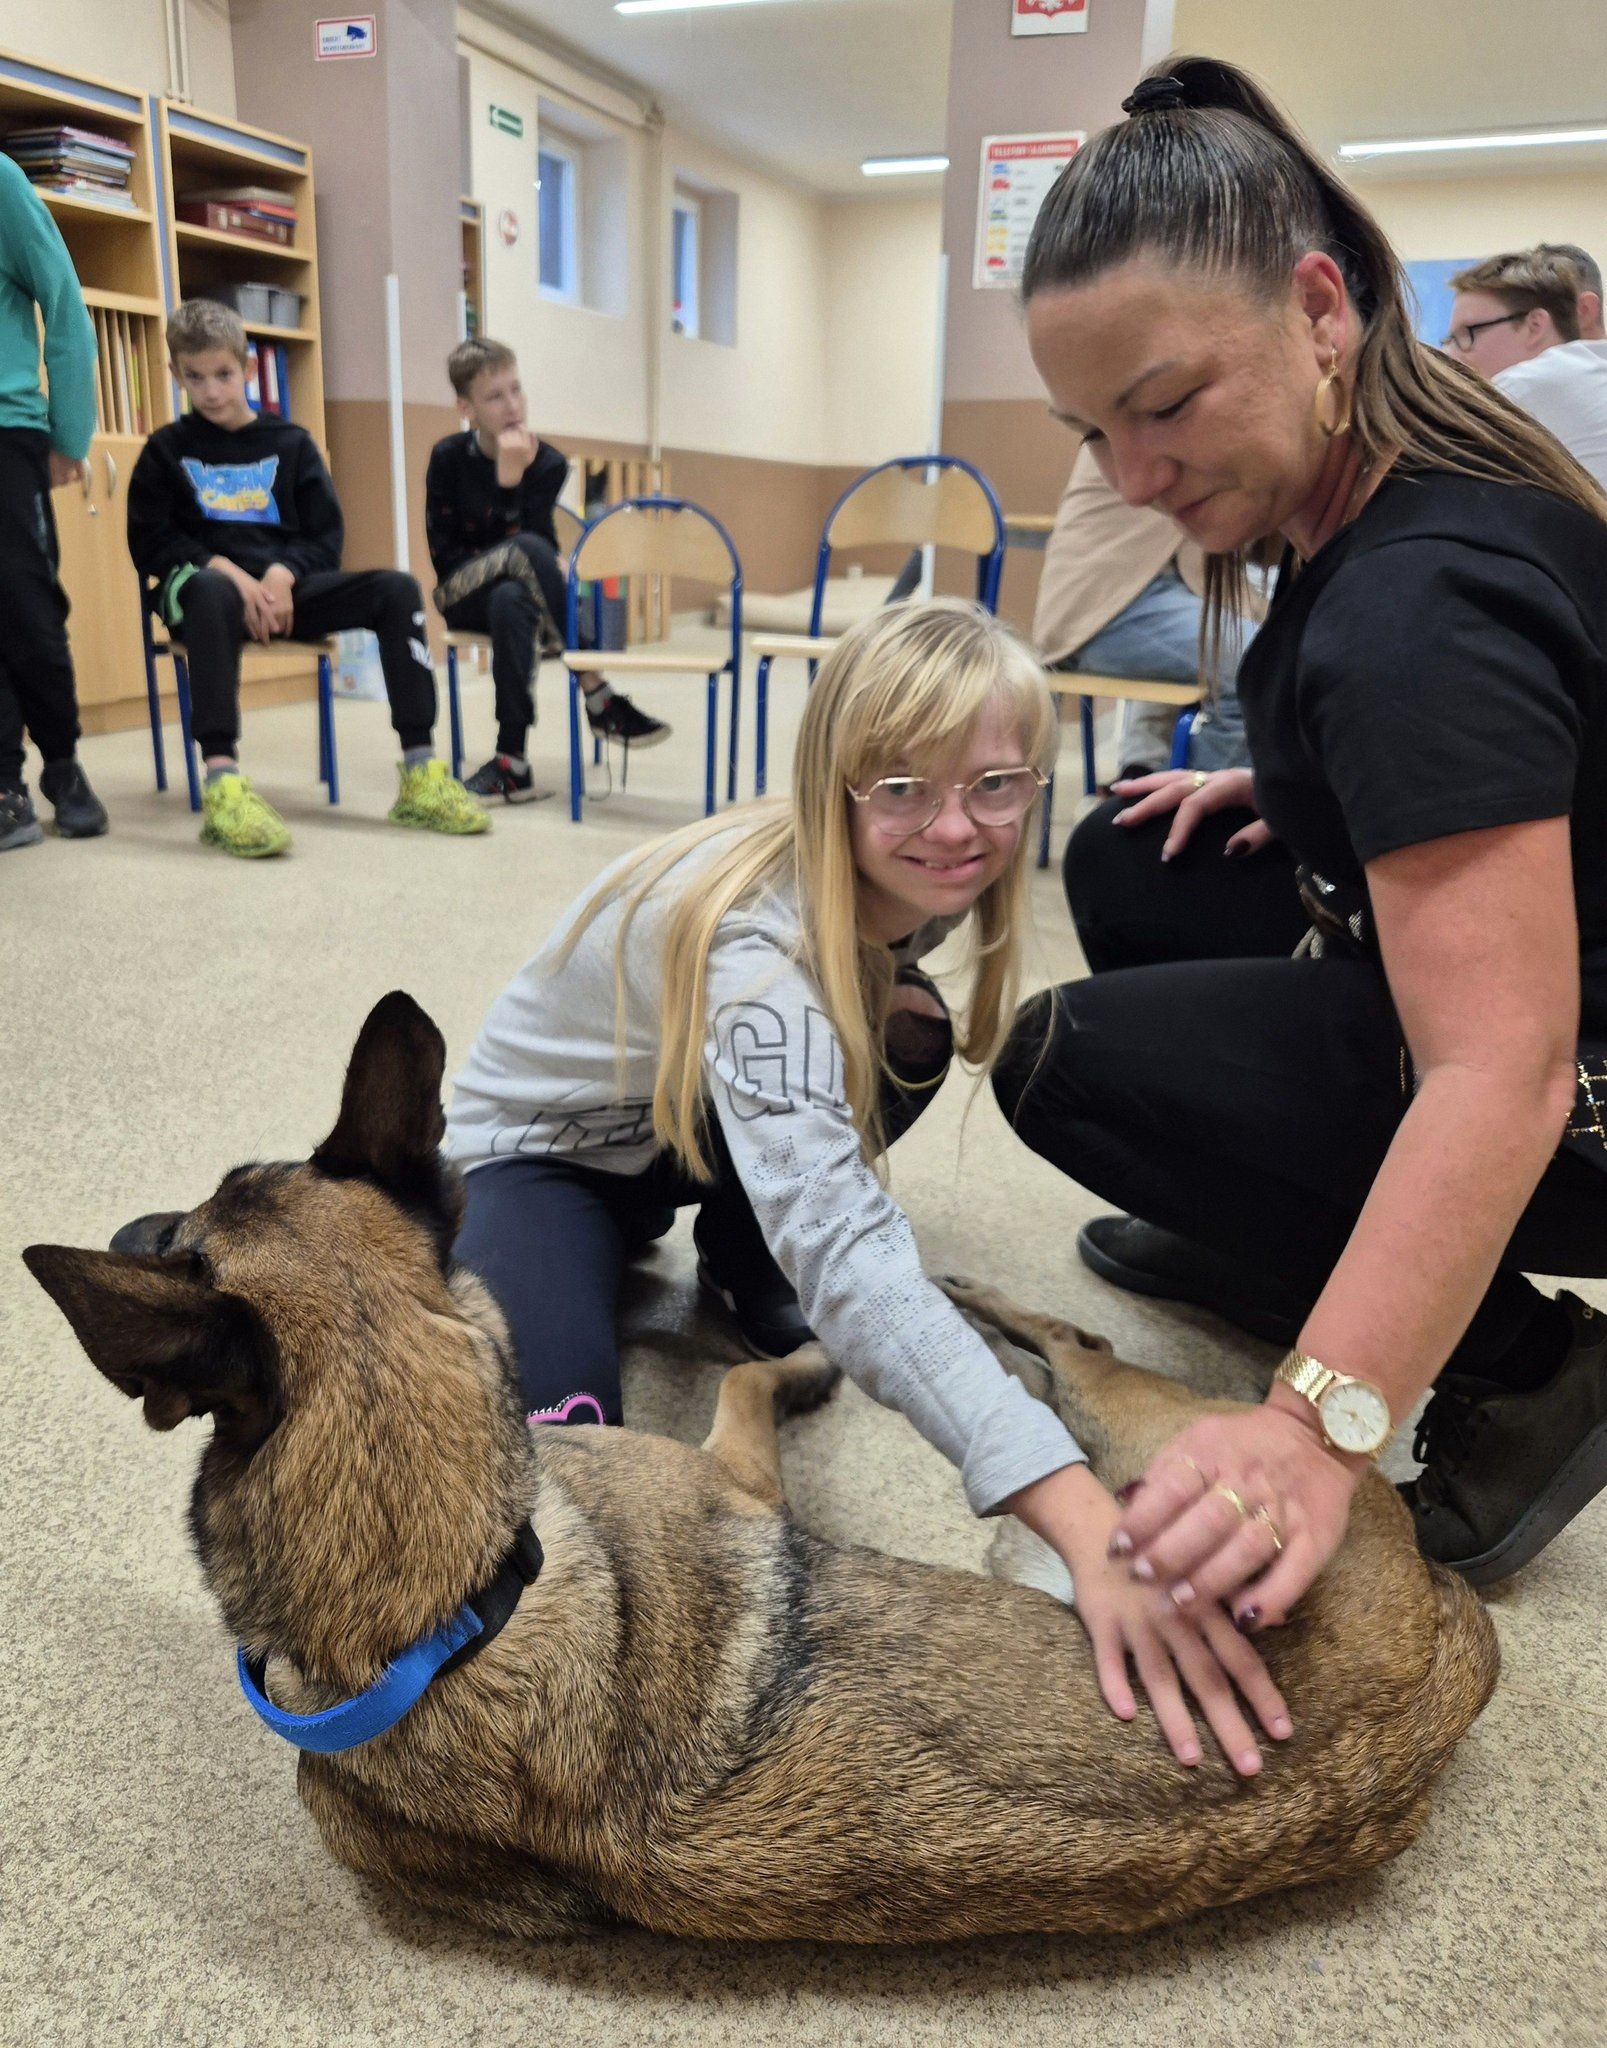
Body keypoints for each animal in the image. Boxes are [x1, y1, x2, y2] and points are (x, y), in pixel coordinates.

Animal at [24, 992, 1499, 1943]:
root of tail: (1443, 1653)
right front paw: (809, 1358)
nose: (128, 1226)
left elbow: (744, 1371)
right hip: (1133, 1426)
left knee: (1067, 1347)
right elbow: (745, 1377)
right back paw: (972, 1313)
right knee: (1072, 1347)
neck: (439, 1612)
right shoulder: (734, 1472)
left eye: (193, 1213)